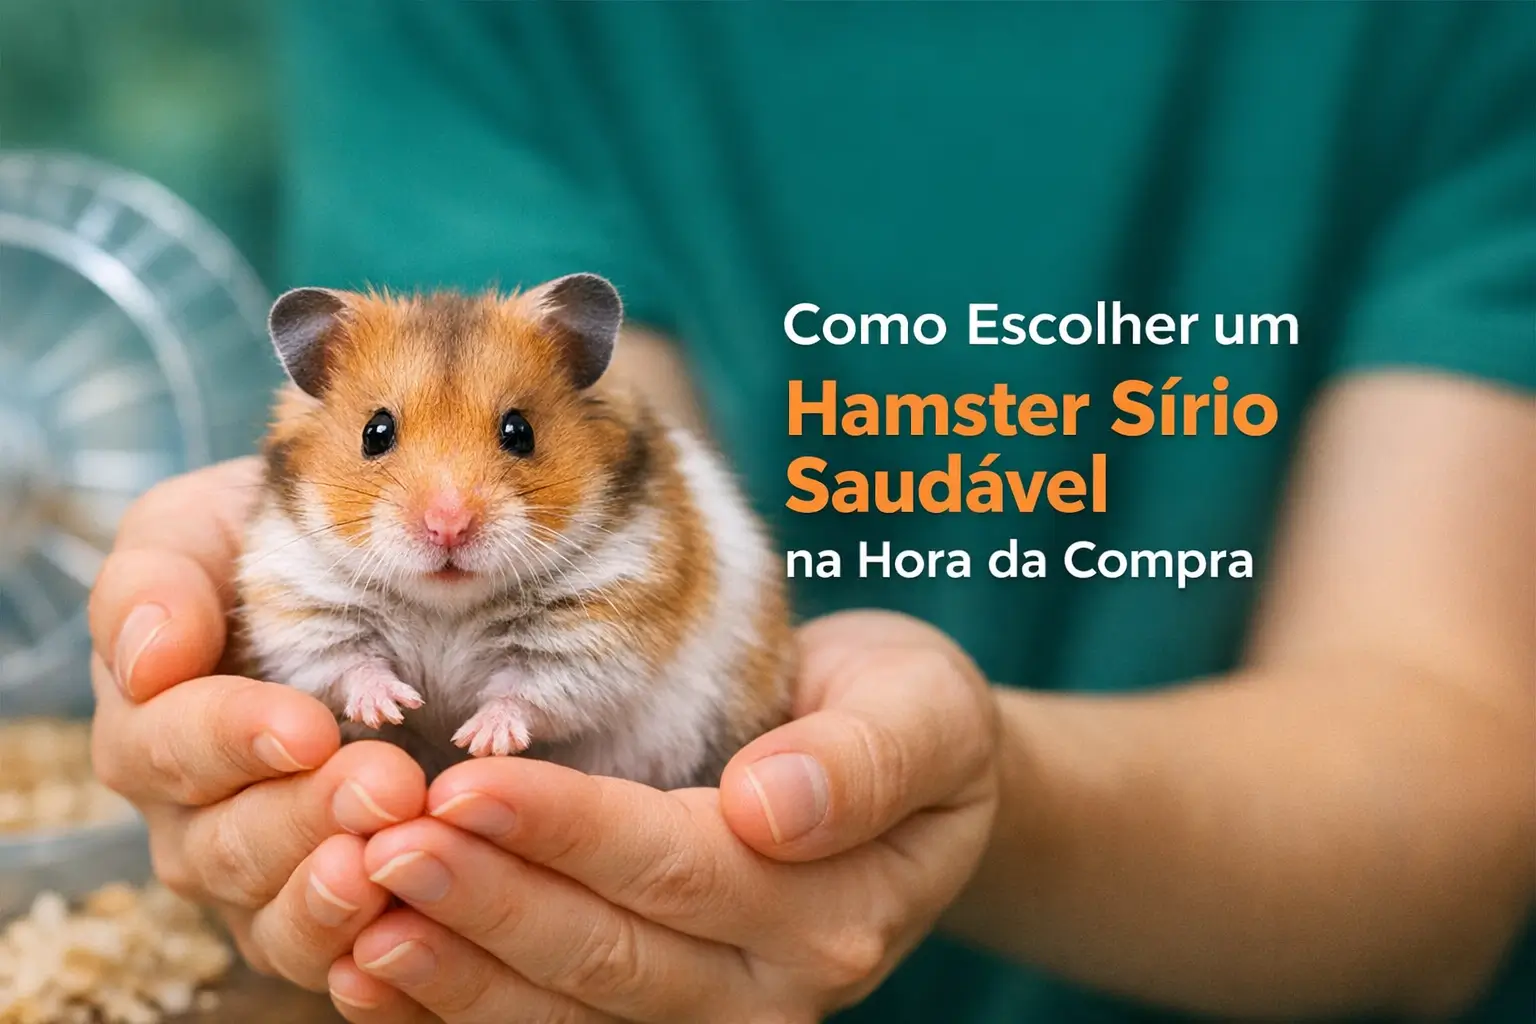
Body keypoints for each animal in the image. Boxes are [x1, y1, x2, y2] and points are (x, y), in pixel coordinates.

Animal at [232, 274, 792, 788]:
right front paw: (393, 706)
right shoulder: (302, 602)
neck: (447, 607)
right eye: (376, 432)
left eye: (519, 431)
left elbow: (530, 692)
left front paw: (477, 738)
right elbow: (346, 664)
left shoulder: (600, 624)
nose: (448, 526)